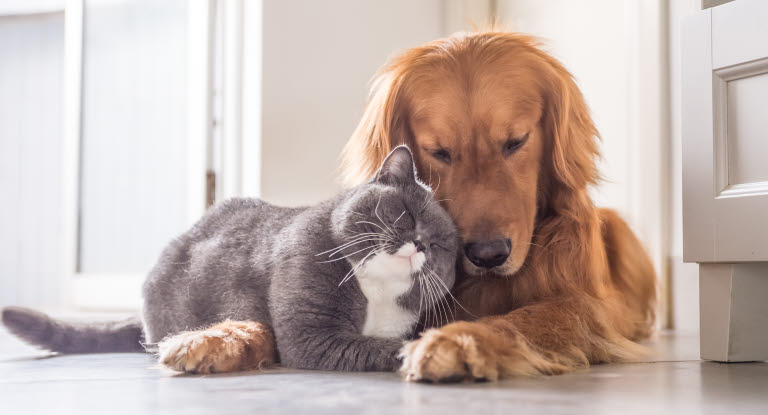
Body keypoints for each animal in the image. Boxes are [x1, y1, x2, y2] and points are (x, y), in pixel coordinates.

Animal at [3, 147, 460, 374]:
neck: (376, 292)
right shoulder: (311, 335)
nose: (419, 243)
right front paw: (425, 351)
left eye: (440, 245)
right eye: (406, 214)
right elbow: (380, 346)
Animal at [344, 31, 660, 384]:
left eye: (516, 142)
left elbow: (526, 319)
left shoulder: (585, 305)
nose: (488, 255)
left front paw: (457, 341)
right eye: (439, 152)